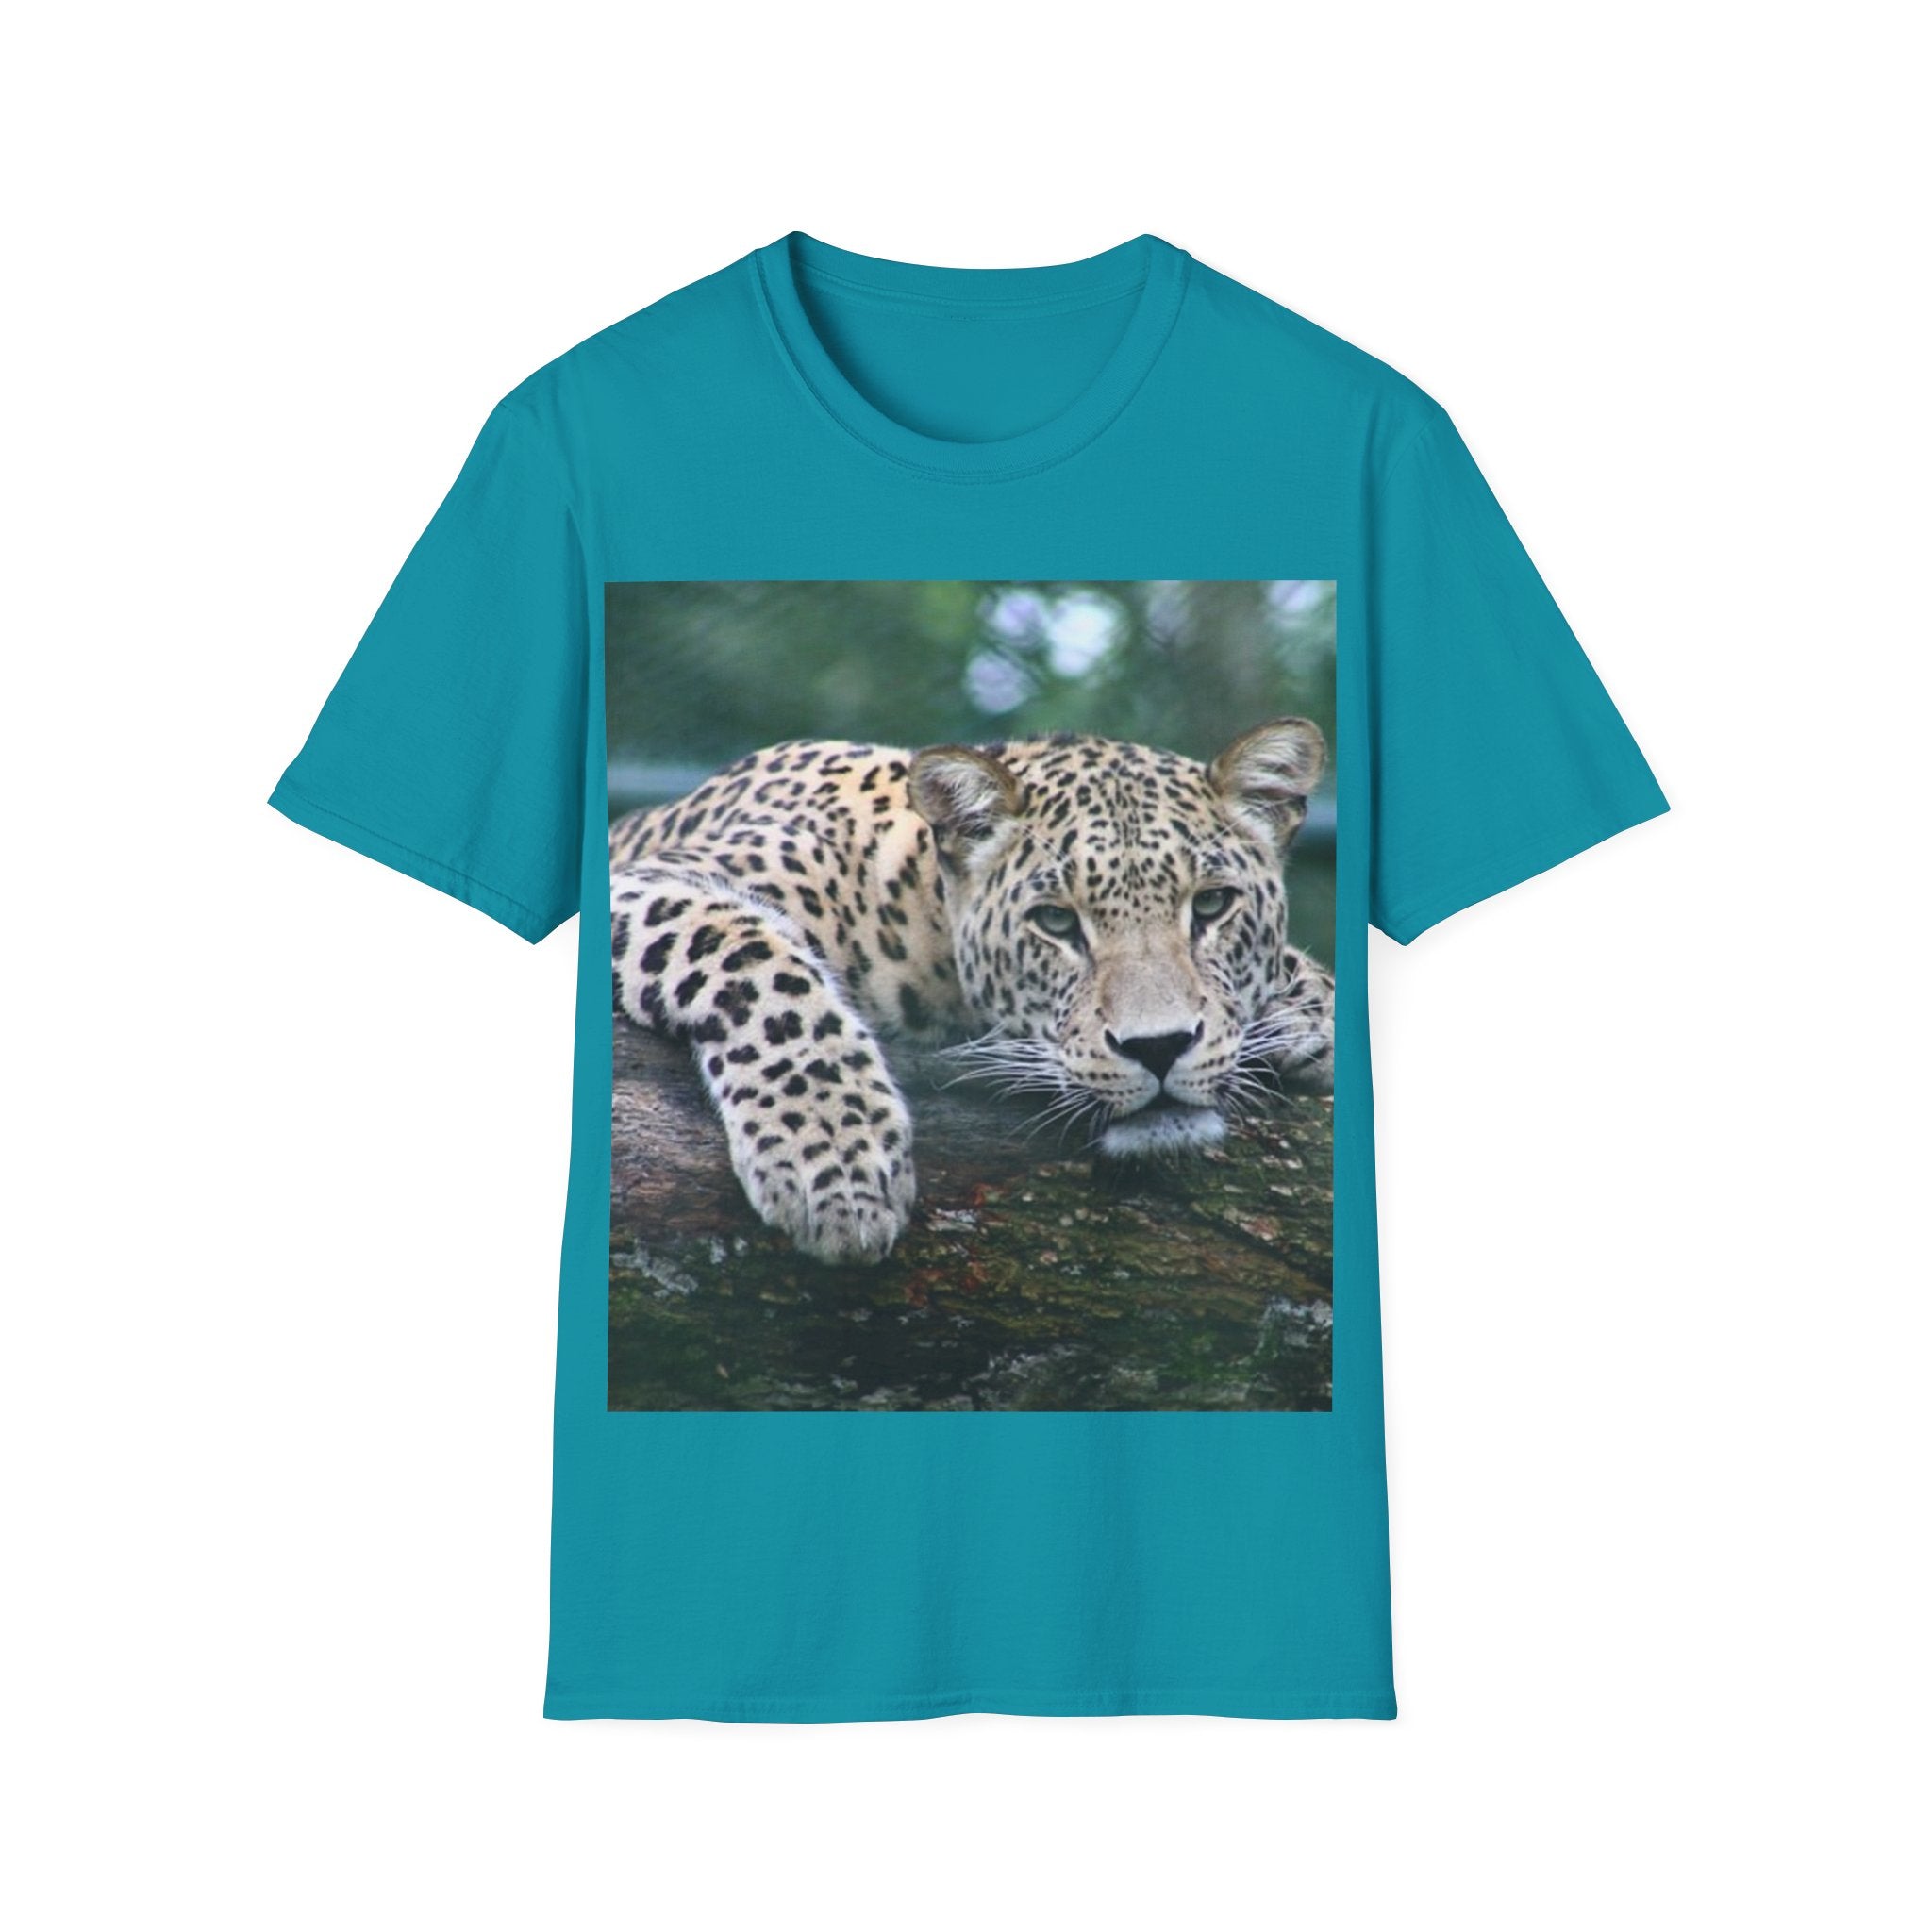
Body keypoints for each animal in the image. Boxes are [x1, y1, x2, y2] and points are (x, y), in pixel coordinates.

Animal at [609, 721, 1335, 1265]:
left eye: (1212, 905)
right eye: (1055, 921)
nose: (1159, 1048)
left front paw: (1308, 1012)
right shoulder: (645, 883)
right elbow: (759, 961)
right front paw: (836, 1160)